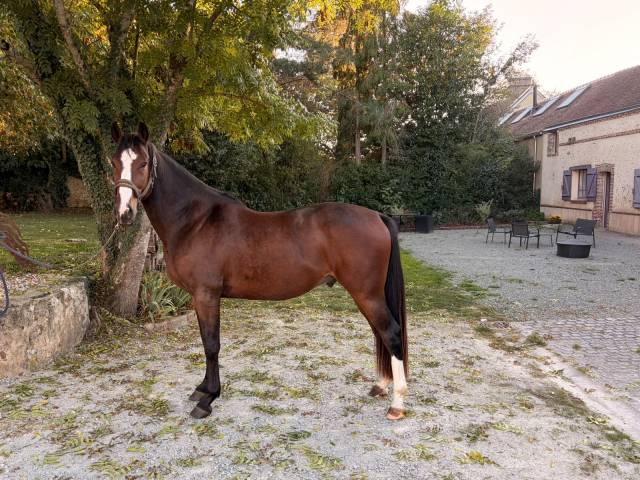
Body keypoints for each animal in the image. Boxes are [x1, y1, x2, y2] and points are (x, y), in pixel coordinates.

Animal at [110, 122, 409, 420]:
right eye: (114, 162)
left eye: (143, 163)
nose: (125, 214)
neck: (195, 221)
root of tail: (377, 216)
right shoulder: (198, 297)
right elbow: (206, 342)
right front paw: (202, 389)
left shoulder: (206, 295)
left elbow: (212, 345)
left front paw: (208, 399)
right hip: (366, 296)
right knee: (379, 334)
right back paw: (381, 386)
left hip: (366, 294)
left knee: (391, 333)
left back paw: (397, 403)